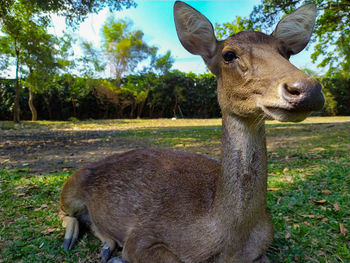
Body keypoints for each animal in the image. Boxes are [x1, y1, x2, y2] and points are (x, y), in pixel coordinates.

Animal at [58, 1, 324, 262]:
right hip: (70, 185)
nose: (307, 89)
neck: (231, 241)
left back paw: (107, 246)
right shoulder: (142, 236)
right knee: (65, 211)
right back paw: (78, 241)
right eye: (229, 55)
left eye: (286, 52)